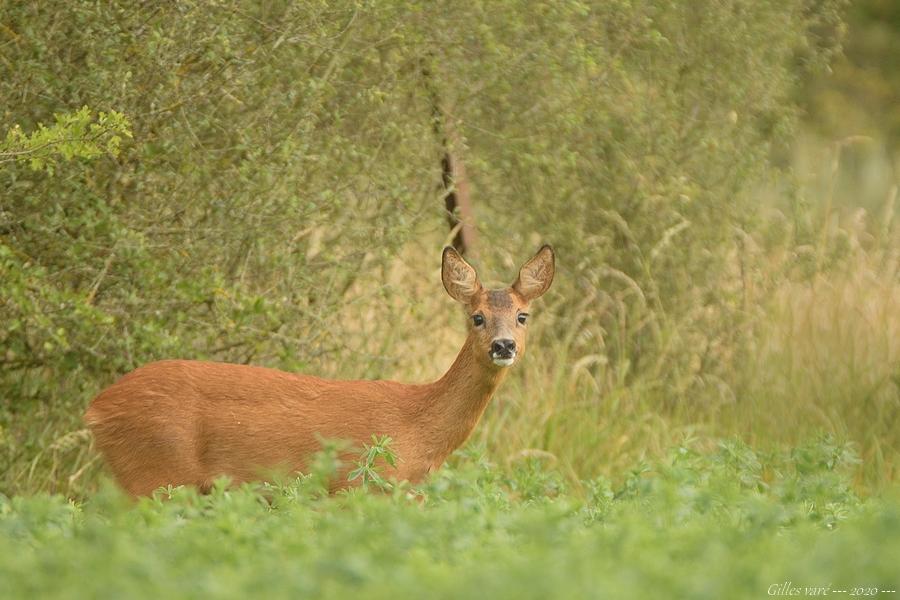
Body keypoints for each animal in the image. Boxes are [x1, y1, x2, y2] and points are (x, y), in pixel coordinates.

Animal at [84, 245, 552, 496]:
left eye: (522, 315)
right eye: (476, 317)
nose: (504, 345)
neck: (418, 428)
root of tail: (96, 408)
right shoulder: (359, 486)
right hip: (154, 471)